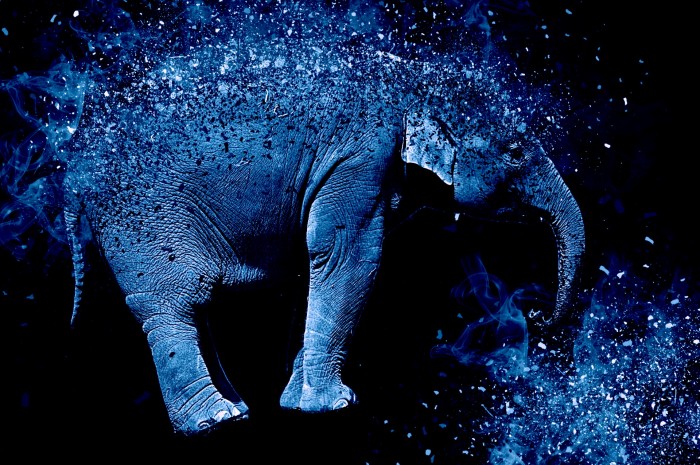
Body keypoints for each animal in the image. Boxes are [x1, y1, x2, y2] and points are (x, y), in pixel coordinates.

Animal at [61, 35, 585, 437]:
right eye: (515, 151)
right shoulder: (360, 160)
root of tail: (74, 170)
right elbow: (347, 255)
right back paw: (215, 421)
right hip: (142, 221)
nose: (540, 320)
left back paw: (237, 410)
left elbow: (311, 268)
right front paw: (335, 406)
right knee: (173, 303)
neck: (412, 80)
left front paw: (298, 405)